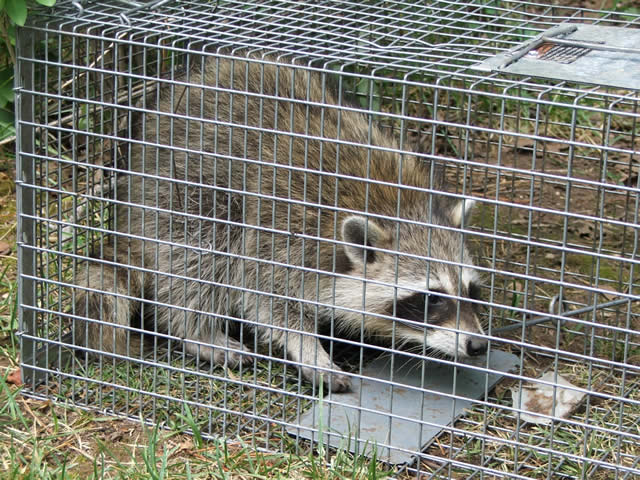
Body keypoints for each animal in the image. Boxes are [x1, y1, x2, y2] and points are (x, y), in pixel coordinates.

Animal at [74, 53, 484, 390]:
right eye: (431, 297)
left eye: (471, 291)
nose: (478, 344)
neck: (397, 206)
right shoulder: (284, 231)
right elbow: (267, 299)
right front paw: (308, 348)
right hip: (186, 190)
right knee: (203, 256)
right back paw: (198, 331)